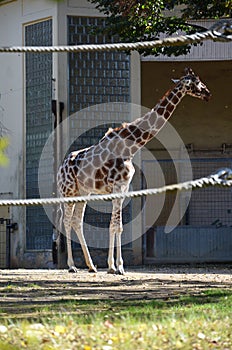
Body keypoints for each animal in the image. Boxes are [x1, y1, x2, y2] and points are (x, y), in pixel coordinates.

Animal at [57, 67, 211, 274]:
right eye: (197, 82)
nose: (208, 93)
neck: (130, 147)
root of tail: (60, 167)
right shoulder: (117, 187)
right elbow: (115, 225)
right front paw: (117, 266)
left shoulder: (123, 188)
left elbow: (117, 225)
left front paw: (113, 266)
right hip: (68, 191)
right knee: (66, 221)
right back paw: (72, 265)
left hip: (84, 192)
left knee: (76, 221)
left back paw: (91, 266)